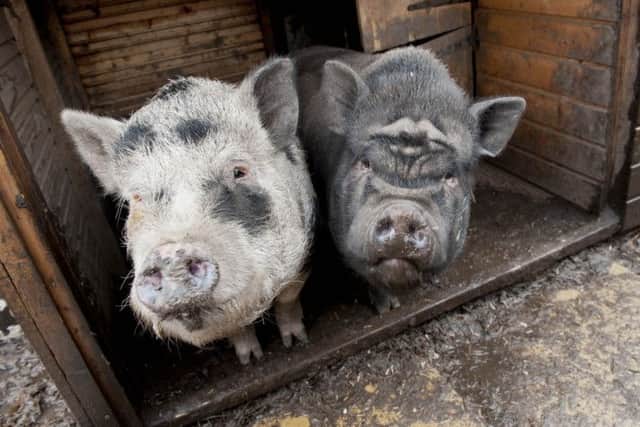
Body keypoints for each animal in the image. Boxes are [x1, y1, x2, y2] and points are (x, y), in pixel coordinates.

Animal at [60, 58, 315, 364]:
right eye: (136, 197)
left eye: (238, 171)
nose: (170, 256)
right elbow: (236, 326)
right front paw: (249, 360)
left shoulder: (303, 251)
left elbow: (289, 297)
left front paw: (295, 342)